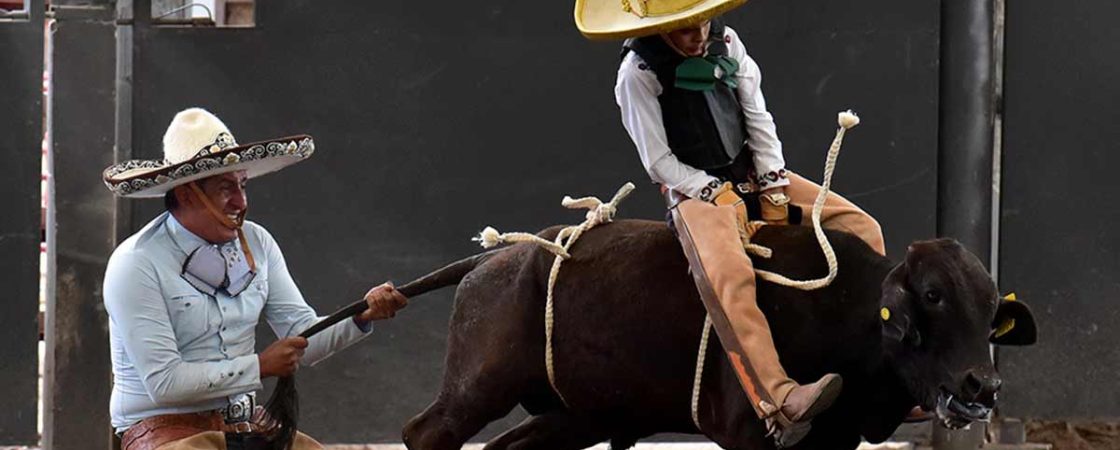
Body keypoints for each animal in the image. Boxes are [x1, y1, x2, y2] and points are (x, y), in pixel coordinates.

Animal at [398, 220, 1034, 450]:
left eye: (990, 309)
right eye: (932, 296)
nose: (982, 386)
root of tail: (501, 256)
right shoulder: (748, 434)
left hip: (577, 415)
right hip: (479, 387)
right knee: (425, 433)